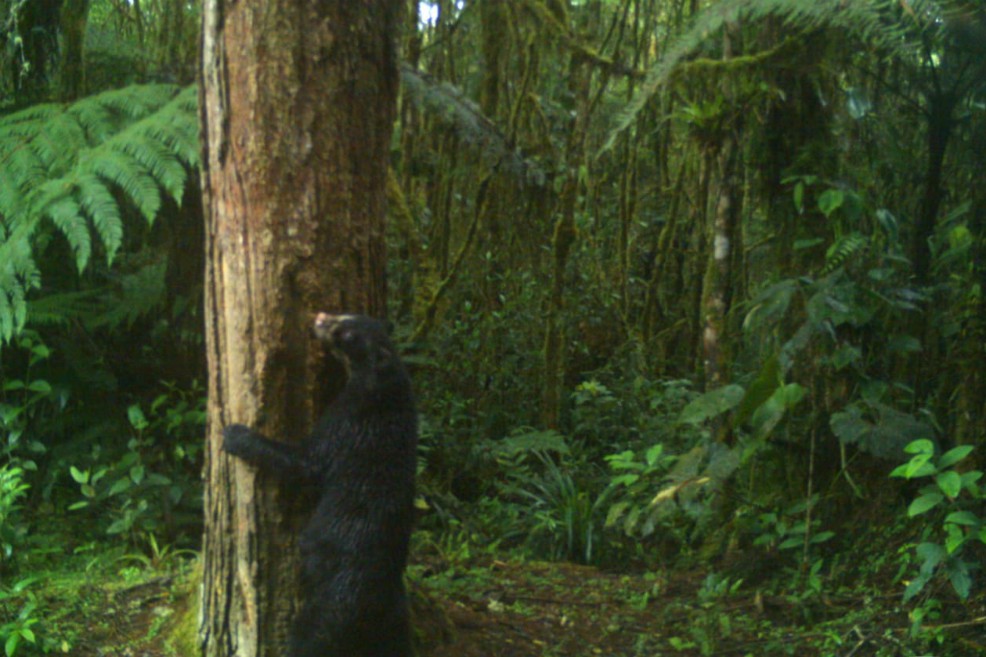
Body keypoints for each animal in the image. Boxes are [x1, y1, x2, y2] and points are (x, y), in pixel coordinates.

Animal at [222, 312, 418, 657]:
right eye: (348, 315)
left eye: (347, 334)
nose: (321, 317)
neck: (386, 387)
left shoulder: (349, 424)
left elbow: (304, 463)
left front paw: (235, 434)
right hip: (396, 621)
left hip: (330, 607)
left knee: (310, 639)